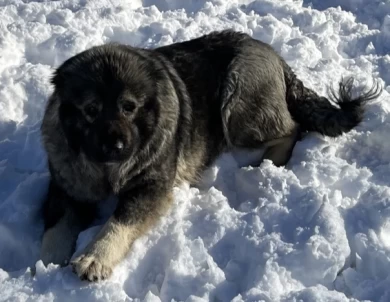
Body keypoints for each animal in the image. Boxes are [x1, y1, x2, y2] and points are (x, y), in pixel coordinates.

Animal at [38, 29, 380, 280]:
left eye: (128, 107)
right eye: (91, 110)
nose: (117, 147)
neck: (106, 169)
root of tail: (275, 56)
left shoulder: (151, 187)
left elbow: (119, 220)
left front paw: (95, 256)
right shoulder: (66, 185)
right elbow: (57, 226)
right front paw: (44, 264)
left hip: (238, 103)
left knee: (291, 127)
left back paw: (270, 162)